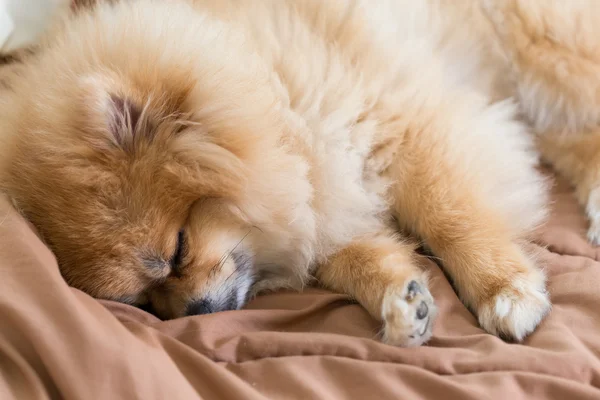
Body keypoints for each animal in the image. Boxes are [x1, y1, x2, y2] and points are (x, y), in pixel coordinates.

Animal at [0, 0, 552, 346]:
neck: (279, 99)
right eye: (145, 301)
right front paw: (402, 300)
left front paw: (504, 289)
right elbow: (357, 259)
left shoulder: (408, 127)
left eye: (178, 249)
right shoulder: (327, 204)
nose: (196, 313)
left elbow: (449, 214)